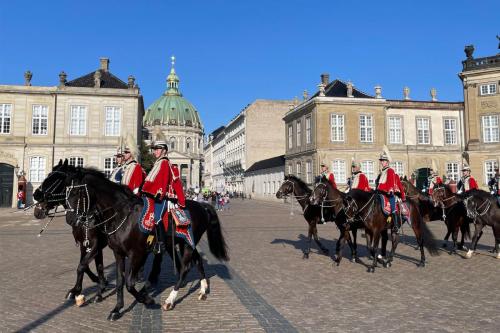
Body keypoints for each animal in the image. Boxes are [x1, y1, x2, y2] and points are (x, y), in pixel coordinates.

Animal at [32, 160, 109, 304]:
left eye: (57, 179)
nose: (36, 195)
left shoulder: (96, 244)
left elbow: (84, 266)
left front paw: (98, 288)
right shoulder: (85, 244)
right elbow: (88, 265)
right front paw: (93, 284)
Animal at [62, 166, 229, 320]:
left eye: (77, 192)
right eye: (66, 193)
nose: (71, 219)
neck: (122, 215)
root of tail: (201, 205)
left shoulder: (137, 253)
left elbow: (129, 283)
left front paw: (147, 300)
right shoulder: (118, 253)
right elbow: (120, 281)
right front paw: (117, 309)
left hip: (187, 244)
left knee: (185, 268)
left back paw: (170, 300)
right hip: (184, 242)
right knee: (197, 261)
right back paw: (203, 290)